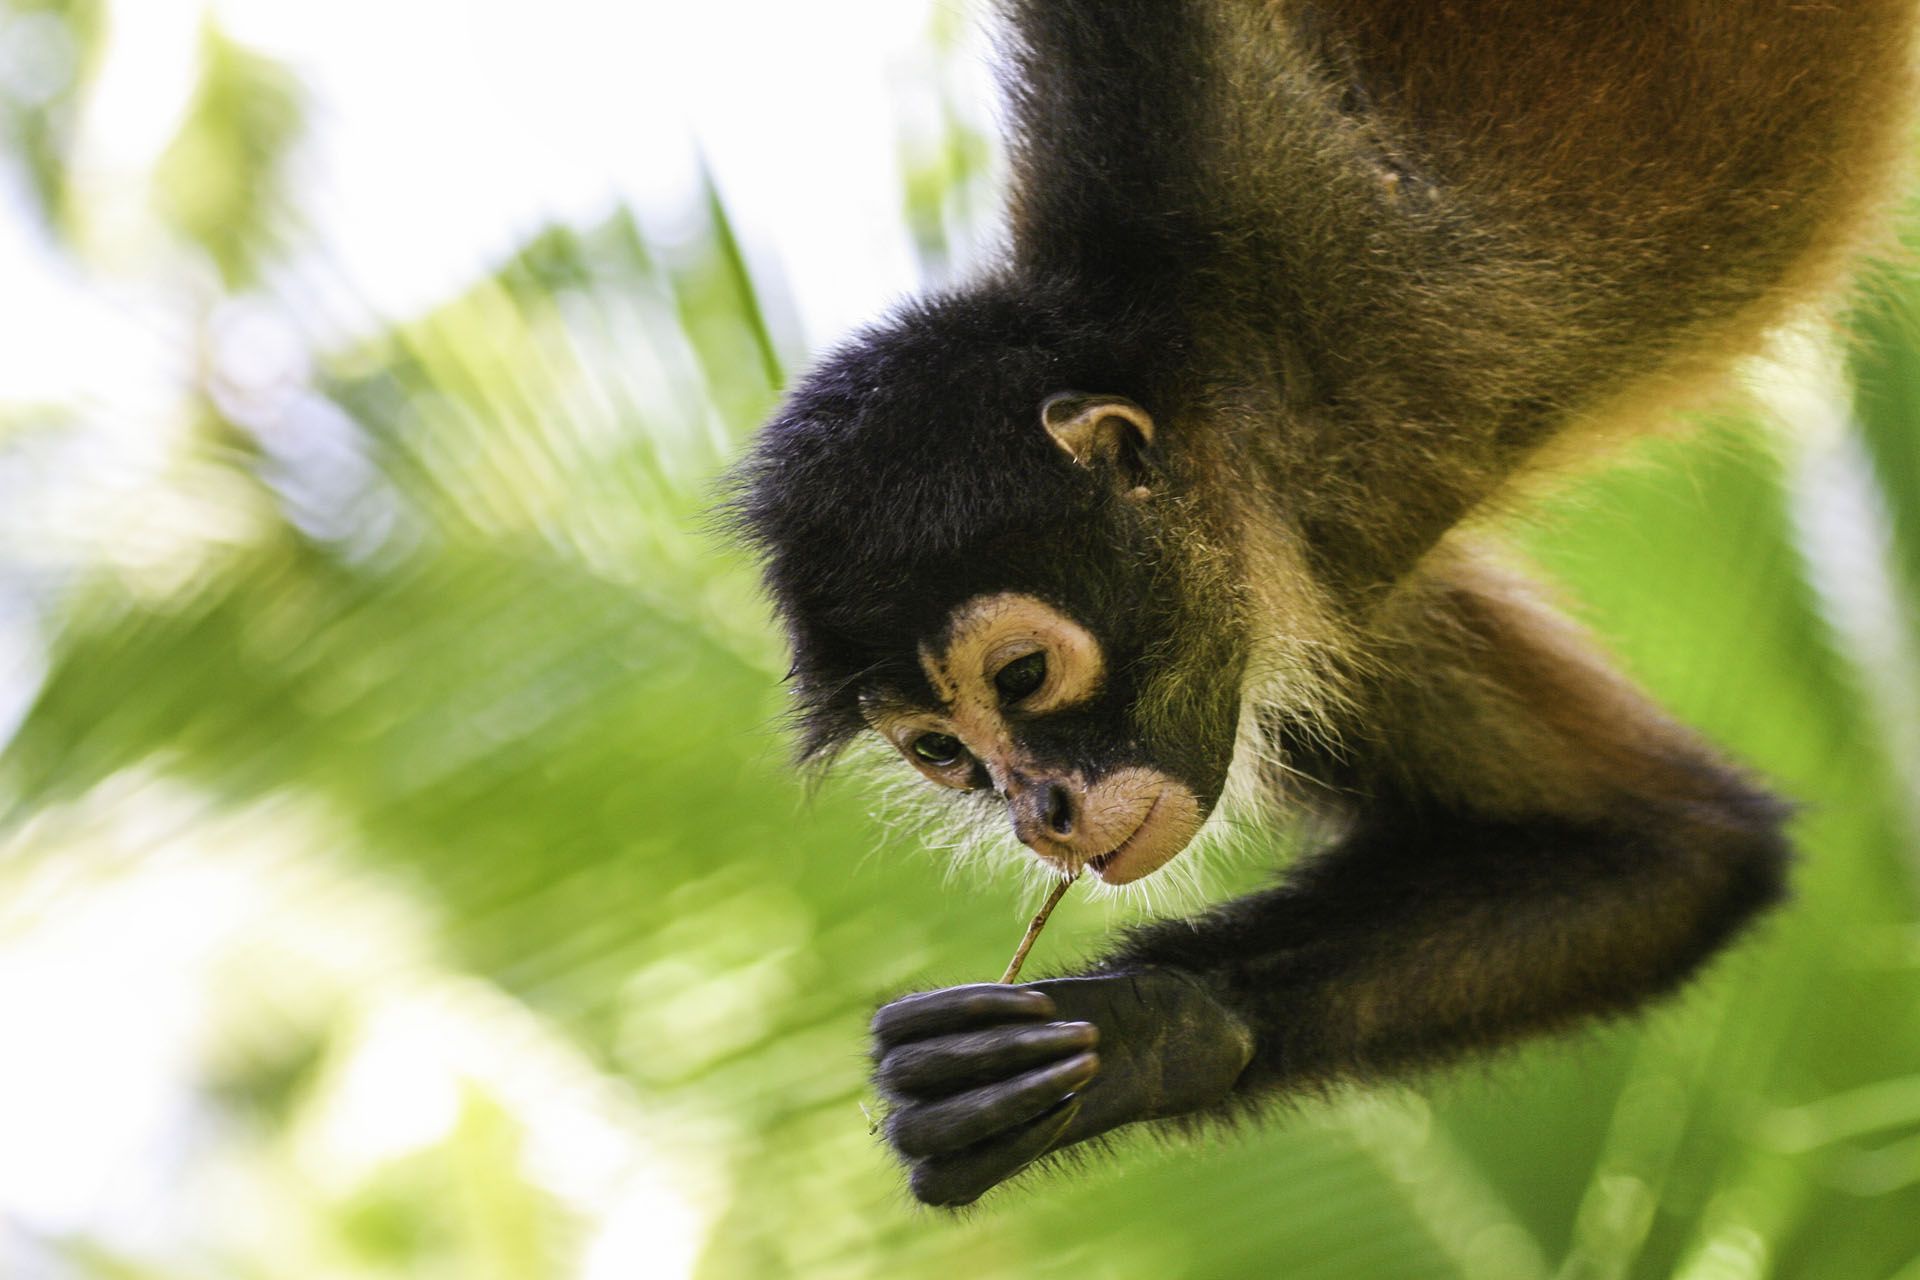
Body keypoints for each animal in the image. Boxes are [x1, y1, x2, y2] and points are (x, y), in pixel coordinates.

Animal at [725, 0, 1912, 1205]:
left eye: (1022, 675)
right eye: (944, 753)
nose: (1039, 812)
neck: (1249, 395)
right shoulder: (1299, 594)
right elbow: (1673, 850)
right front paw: (1152, 1031)